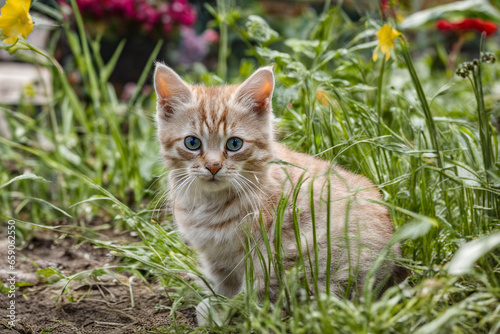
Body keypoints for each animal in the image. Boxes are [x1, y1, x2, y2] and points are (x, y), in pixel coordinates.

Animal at [154, 64, 404, 302]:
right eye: (192, 143)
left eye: (234, 144)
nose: (213, 166)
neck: (211, 205)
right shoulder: (215, 258)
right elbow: (223, 282)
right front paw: (217, 300)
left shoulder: (270, 249)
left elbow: (255, 289)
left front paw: (227, 309)